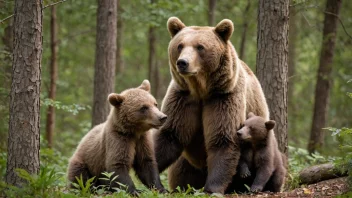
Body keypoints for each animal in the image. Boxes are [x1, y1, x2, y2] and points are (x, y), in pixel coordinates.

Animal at [154, 17, 270, 193]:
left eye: (200, 47)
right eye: (180, 45)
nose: (183, 63)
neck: (200, 89)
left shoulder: (223, 97)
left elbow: (222, 138)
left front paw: (212, 188)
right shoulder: (182, 97)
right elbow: (169, 135)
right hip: (186, 160)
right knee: (181, 172)